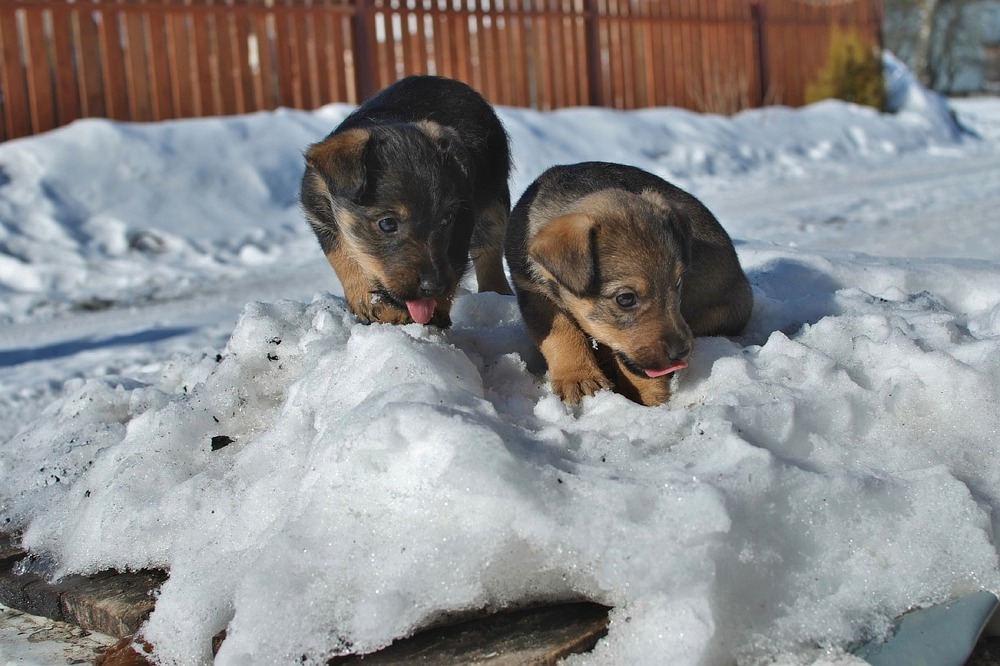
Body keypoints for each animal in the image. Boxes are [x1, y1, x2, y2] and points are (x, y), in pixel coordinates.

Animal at [300, 76, 512, 326]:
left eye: (446, 220)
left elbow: (456, 259)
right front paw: (372, 304)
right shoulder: (318, 212)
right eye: (387, 223)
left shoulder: (463, 218)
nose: (433, 286)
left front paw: (435, 311)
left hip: (494, 201)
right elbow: (343, 257)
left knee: (490, 253)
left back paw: (499, 296)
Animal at [508, 163, 752, 408]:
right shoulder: (535, 294)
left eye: (677, 283)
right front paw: (579, 379)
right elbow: (561, 336)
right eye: (625, 298)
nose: (681, 353)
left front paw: (649, 399)